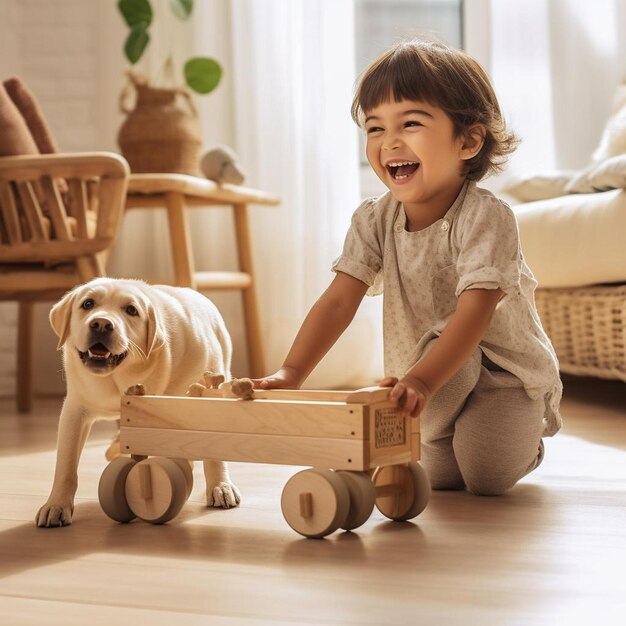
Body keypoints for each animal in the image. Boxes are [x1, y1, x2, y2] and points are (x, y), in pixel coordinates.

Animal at [34, 276, 239, 524]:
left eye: (131, 310)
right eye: (88, 304)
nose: (101, 324)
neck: (118, 380)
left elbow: (213, 451)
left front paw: (220, 487)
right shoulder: (75, 410)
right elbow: (66, 464)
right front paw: (56, 505)